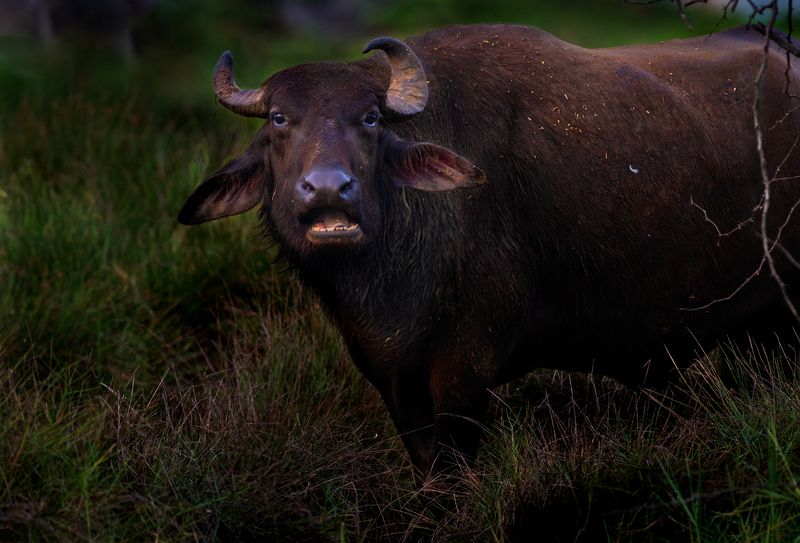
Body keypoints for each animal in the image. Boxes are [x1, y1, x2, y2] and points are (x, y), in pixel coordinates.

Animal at [179, 24, 800, 476]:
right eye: (280, 119)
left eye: (371, 118)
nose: (329, 189)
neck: (388, 292)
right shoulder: (390, 378)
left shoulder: (463, 372)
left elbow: (453, 465)